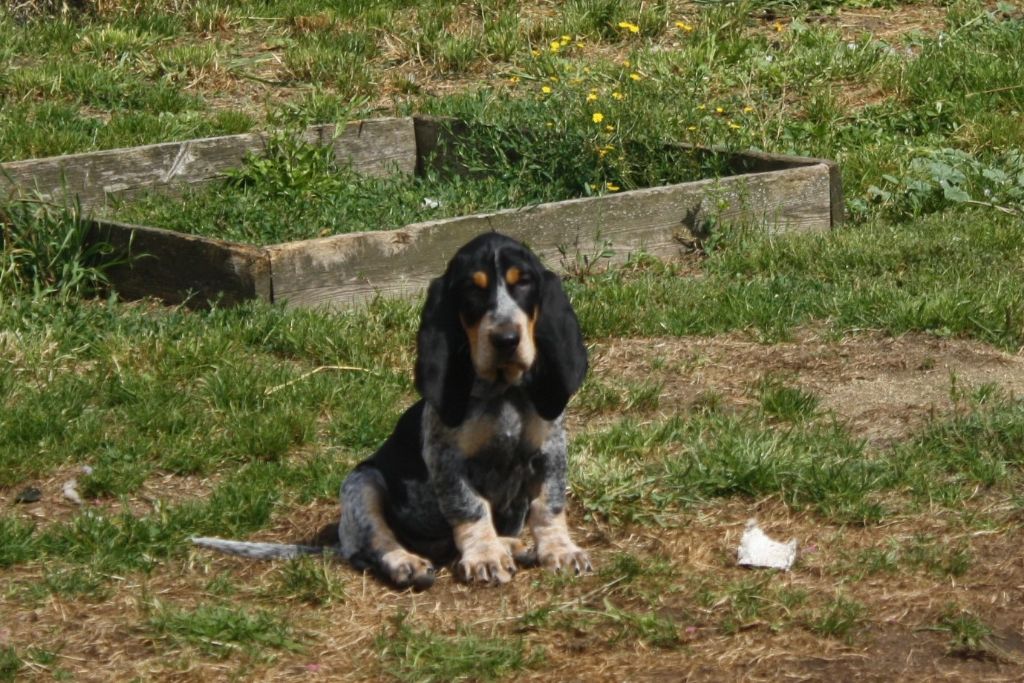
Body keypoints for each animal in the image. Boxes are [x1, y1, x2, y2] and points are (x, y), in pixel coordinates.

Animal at [193, 232, 590, 589]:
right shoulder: (447, 462)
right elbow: (471, 508)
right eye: (472, 290)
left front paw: (559, 550)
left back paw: (513, 545)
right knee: (372, 547)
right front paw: (485, 557)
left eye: (523, 283)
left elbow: (549, 506)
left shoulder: (550, 453)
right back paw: (409, 563)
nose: (506, 340)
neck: (502, 392)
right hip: (361, 484)